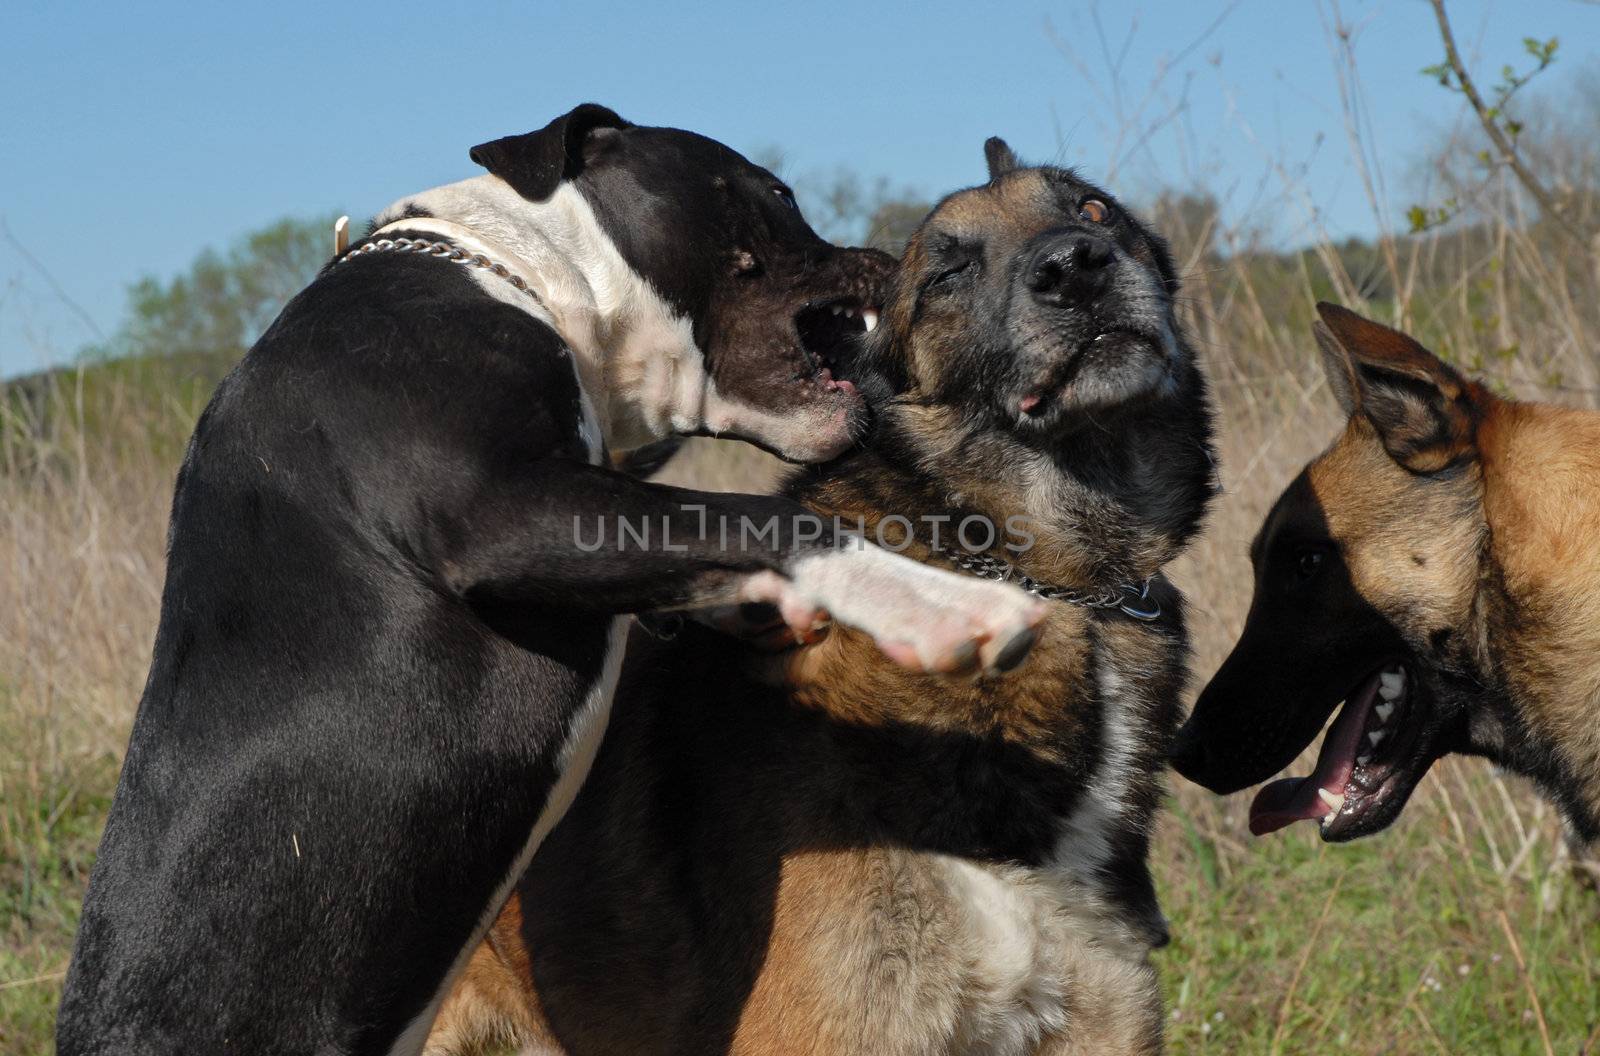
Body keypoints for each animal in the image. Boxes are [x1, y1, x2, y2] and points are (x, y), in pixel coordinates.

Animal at [56, 109, 1043, 1056]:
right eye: (775, 192)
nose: (886, 256)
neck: (520, 273)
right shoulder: (496, 509)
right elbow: (762, 518)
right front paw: (950, 607)